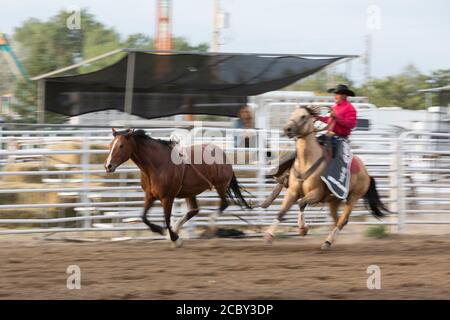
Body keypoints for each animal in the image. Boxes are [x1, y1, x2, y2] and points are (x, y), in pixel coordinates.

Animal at [106, 129, 253, 249]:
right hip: (191, 192)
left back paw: (210, 228)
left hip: (220, 186)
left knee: (223, 204)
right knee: (194, 210)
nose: (108, 166)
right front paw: (164, 232)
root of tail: (223, 154)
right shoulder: (149, 196)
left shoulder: (167, 198)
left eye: (121, 145)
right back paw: (178, 227)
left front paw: (175, 239)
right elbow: (144, 217)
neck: (157, 165)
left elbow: (166, 219)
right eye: (111, 145)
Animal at [266, 107, 388, 250]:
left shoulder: (316, 193)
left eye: (303, 116)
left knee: (342, 220)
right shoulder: (292, 192)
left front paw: (303, 229)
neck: (306, 161)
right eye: (292, 114)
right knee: (338, 220)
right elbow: (282, 212)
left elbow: (301, 203)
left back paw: (328, 242)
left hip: (353, 197)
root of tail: (367, 173)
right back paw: (332, 240)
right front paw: (269, 236)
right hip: (334, 201)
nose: (287, 129)